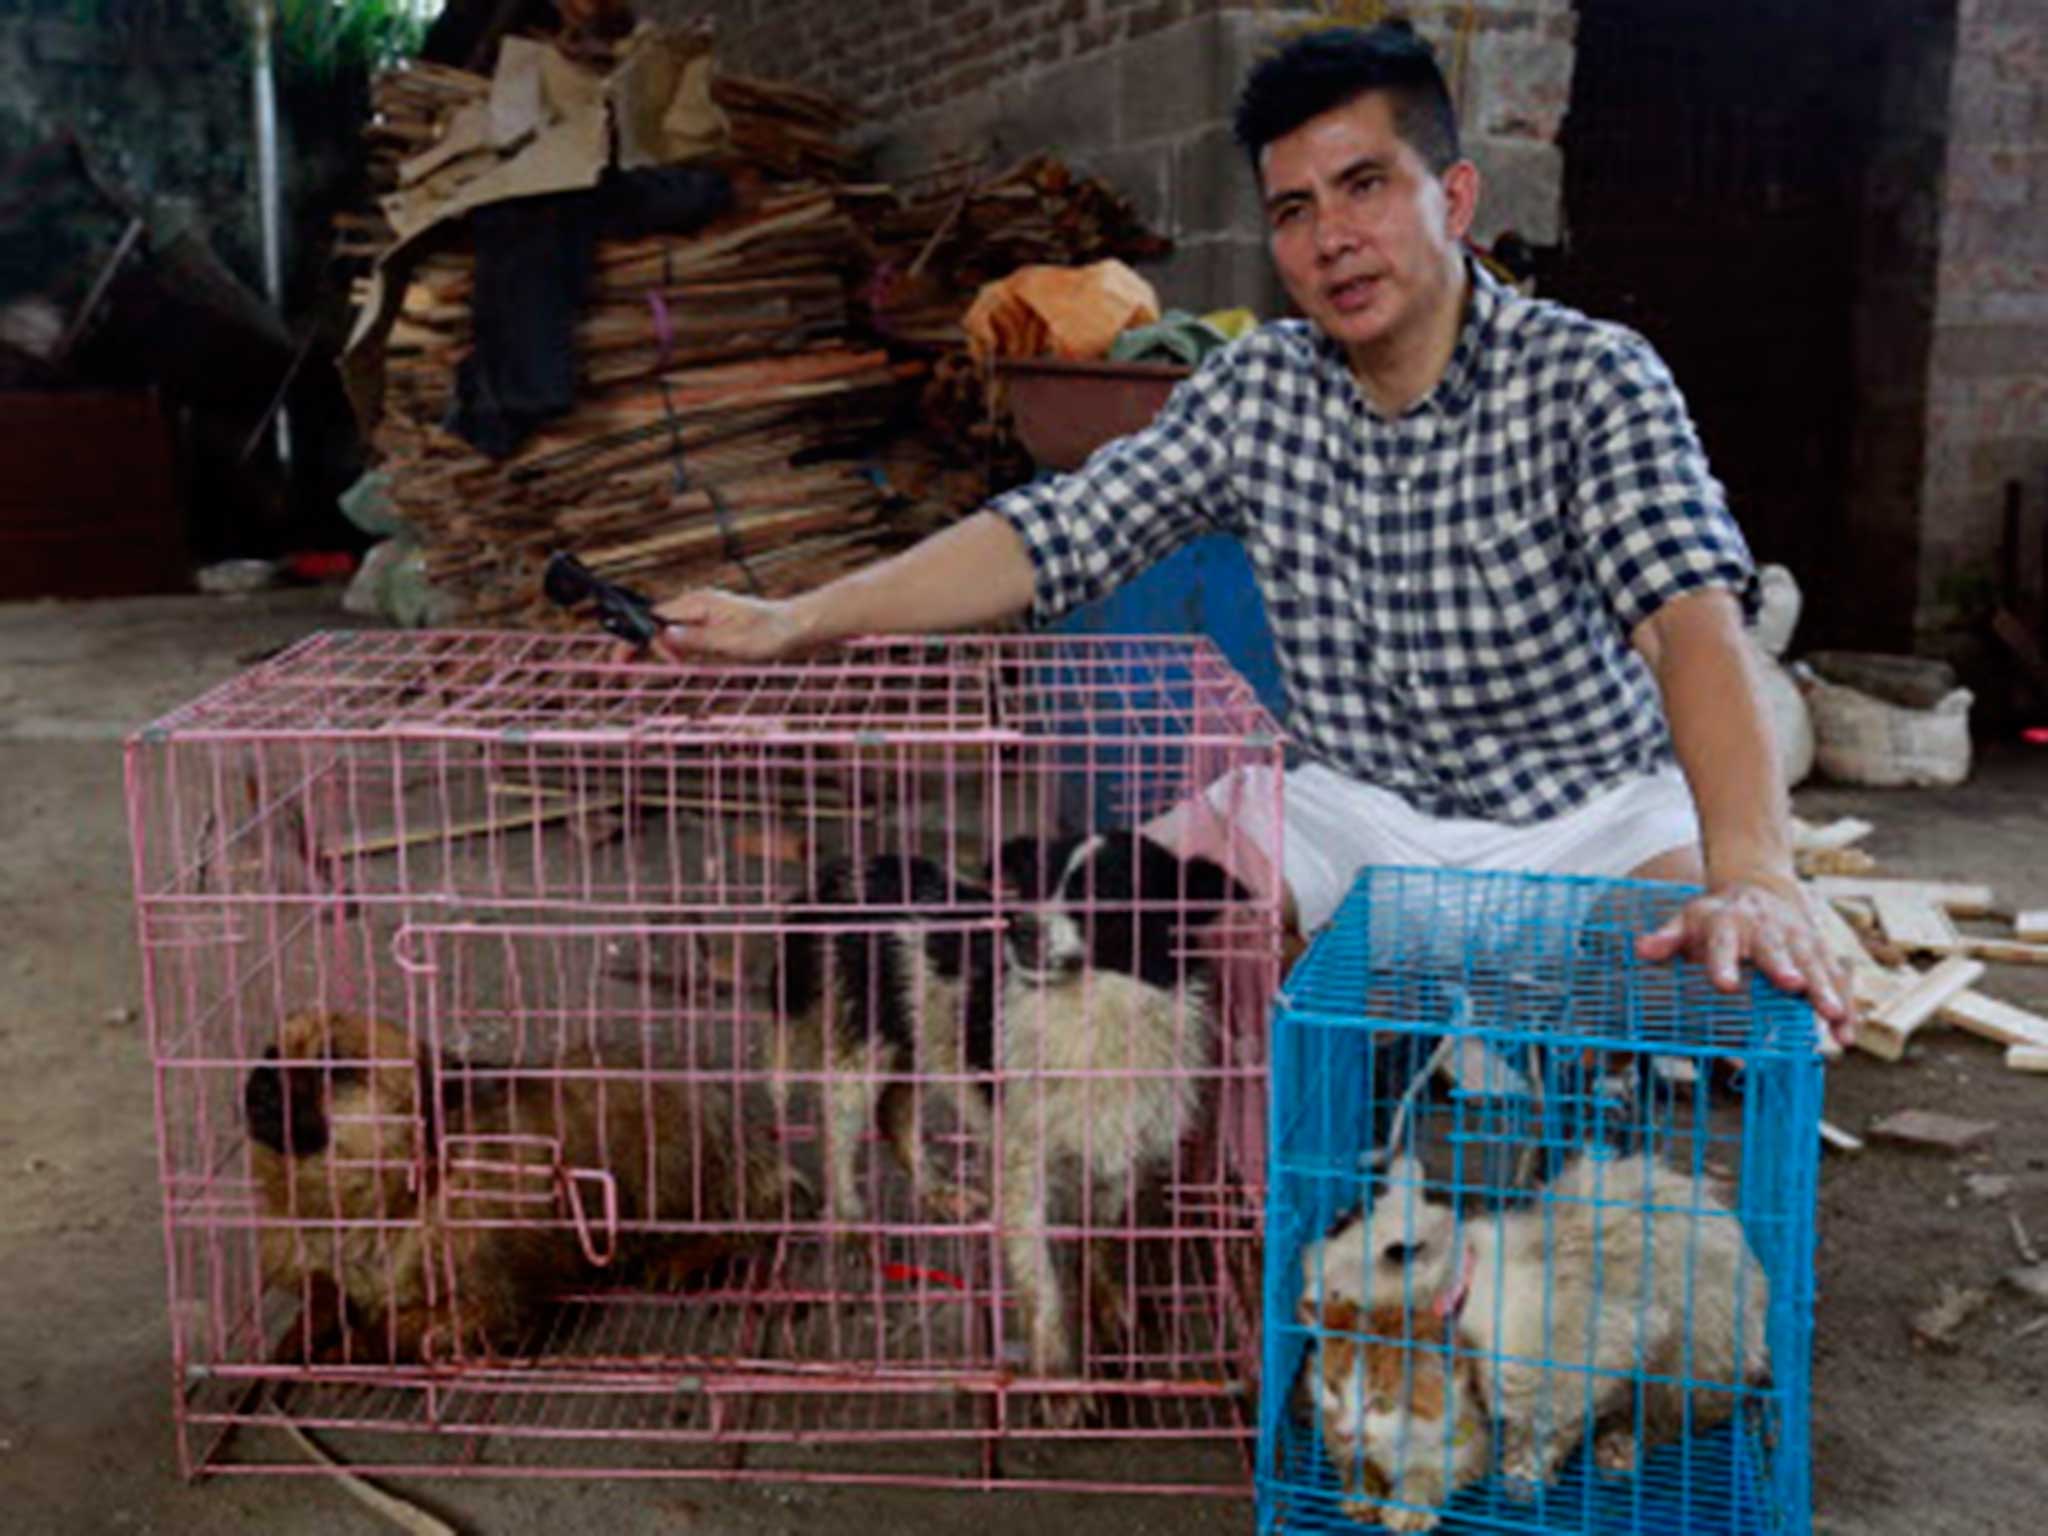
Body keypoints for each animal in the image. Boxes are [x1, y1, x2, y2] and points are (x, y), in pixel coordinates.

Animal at [243, 1015, 802, 1368]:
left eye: (336, 1069)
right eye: (271, 1052)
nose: (262, 1077)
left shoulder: (492, 1307)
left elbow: (404, 1330)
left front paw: (351, 1345)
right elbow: (324, 1292)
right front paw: (308, 1328)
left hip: (664, 1174)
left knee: (737, 1219)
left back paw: (689, 1256)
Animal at [770, 831, 1236, 1409]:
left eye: (1104, 893)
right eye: (1033, 884)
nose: (1021, 927)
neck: (1092, 1017)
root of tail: (851, 869)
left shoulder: (1118, 1158)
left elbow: (1101, 1239)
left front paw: (1107, 1303)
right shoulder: (1022, 1171)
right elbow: (1042, 1288)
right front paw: (1059, 1382)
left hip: (925, 1041)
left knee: (893, 1111)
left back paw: (939, 1191)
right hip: (866, 1041)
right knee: (837, 1124)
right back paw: (852, 1224)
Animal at [1302, 1146, 1769, 1523]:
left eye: (1398, 1252)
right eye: (1339, 1225)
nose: (1309, 1296)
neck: (1467, 1294)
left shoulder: (1579, 1368)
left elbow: (1546, 1431)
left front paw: (1523, 1479)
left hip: (1687, 1366)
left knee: (1675, 1417)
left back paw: (1619, 1449)